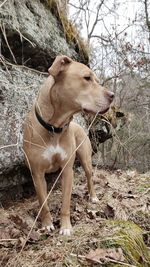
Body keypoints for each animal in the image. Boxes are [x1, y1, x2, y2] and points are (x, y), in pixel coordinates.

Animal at [22, 55, 113, 236]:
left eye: (97, 81)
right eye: (87, 78)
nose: (113, 95)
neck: (54, 127)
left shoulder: (67, 171)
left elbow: (65, 202)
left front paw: (65, 227)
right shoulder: (37, 174)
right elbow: (43, 203)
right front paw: (47, 224)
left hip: (85, 159)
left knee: (89, 177)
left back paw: (93, 197)